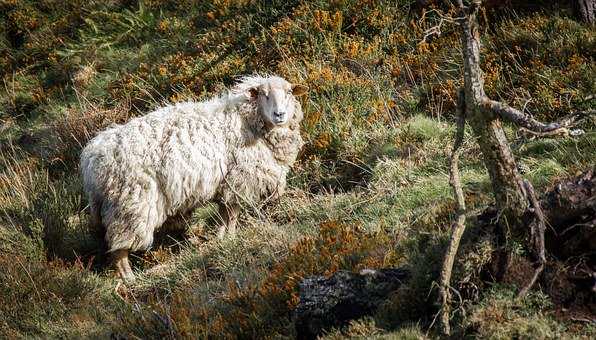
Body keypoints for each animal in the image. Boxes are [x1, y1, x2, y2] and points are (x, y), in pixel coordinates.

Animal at [79, 74, 308, 282]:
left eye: (289, 93)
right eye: (263, 94)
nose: (280, 114)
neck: (247, 120)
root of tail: (92, 157)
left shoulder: (226, 183)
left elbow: (224, 215)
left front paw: (221, 238)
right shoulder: (239, 179)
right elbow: (232, 215)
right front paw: (231, 237)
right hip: (131, 204)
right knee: (120, 248)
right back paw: (129, 279)